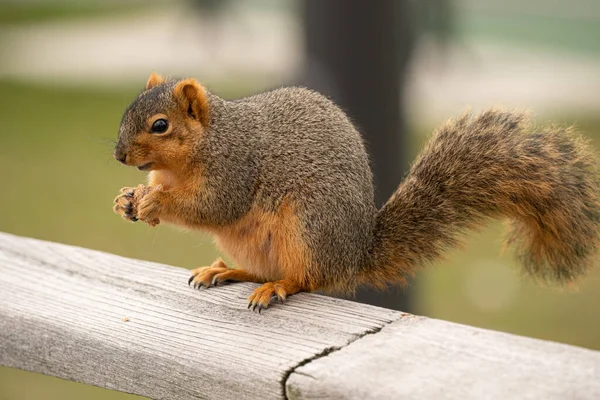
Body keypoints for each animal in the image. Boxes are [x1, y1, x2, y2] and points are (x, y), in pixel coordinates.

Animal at [111, 72, 600, 312]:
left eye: (160, 125)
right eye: (127, 111)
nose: (118, 154)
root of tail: (353, 255)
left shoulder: (235, 168)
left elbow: (213, 205)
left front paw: (156, 202)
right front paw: (128, 198)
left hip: (307, 227)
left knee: (307, 279)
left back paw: (277, 287)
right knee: (263, 269)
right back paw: (227, 271)